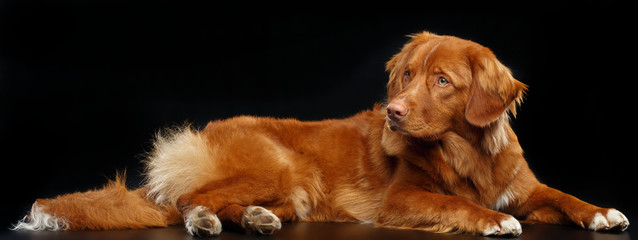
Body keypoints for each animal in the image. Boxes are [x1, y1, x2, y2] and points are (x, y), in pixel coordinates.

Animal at [11, 31, 632, 236]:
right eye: (407, 75)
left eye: (442, 81)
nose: (394, 113)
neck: (467, 154)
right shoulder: (401, 200)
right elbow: (457, 204)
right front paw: (490, 221)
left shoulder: (526, 189)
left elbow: (563, 195)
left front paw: (602, 212)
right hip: (281, 163)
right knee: (186, 199)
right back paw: (206, 220)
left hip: (293, 187)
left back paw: (257, 219)